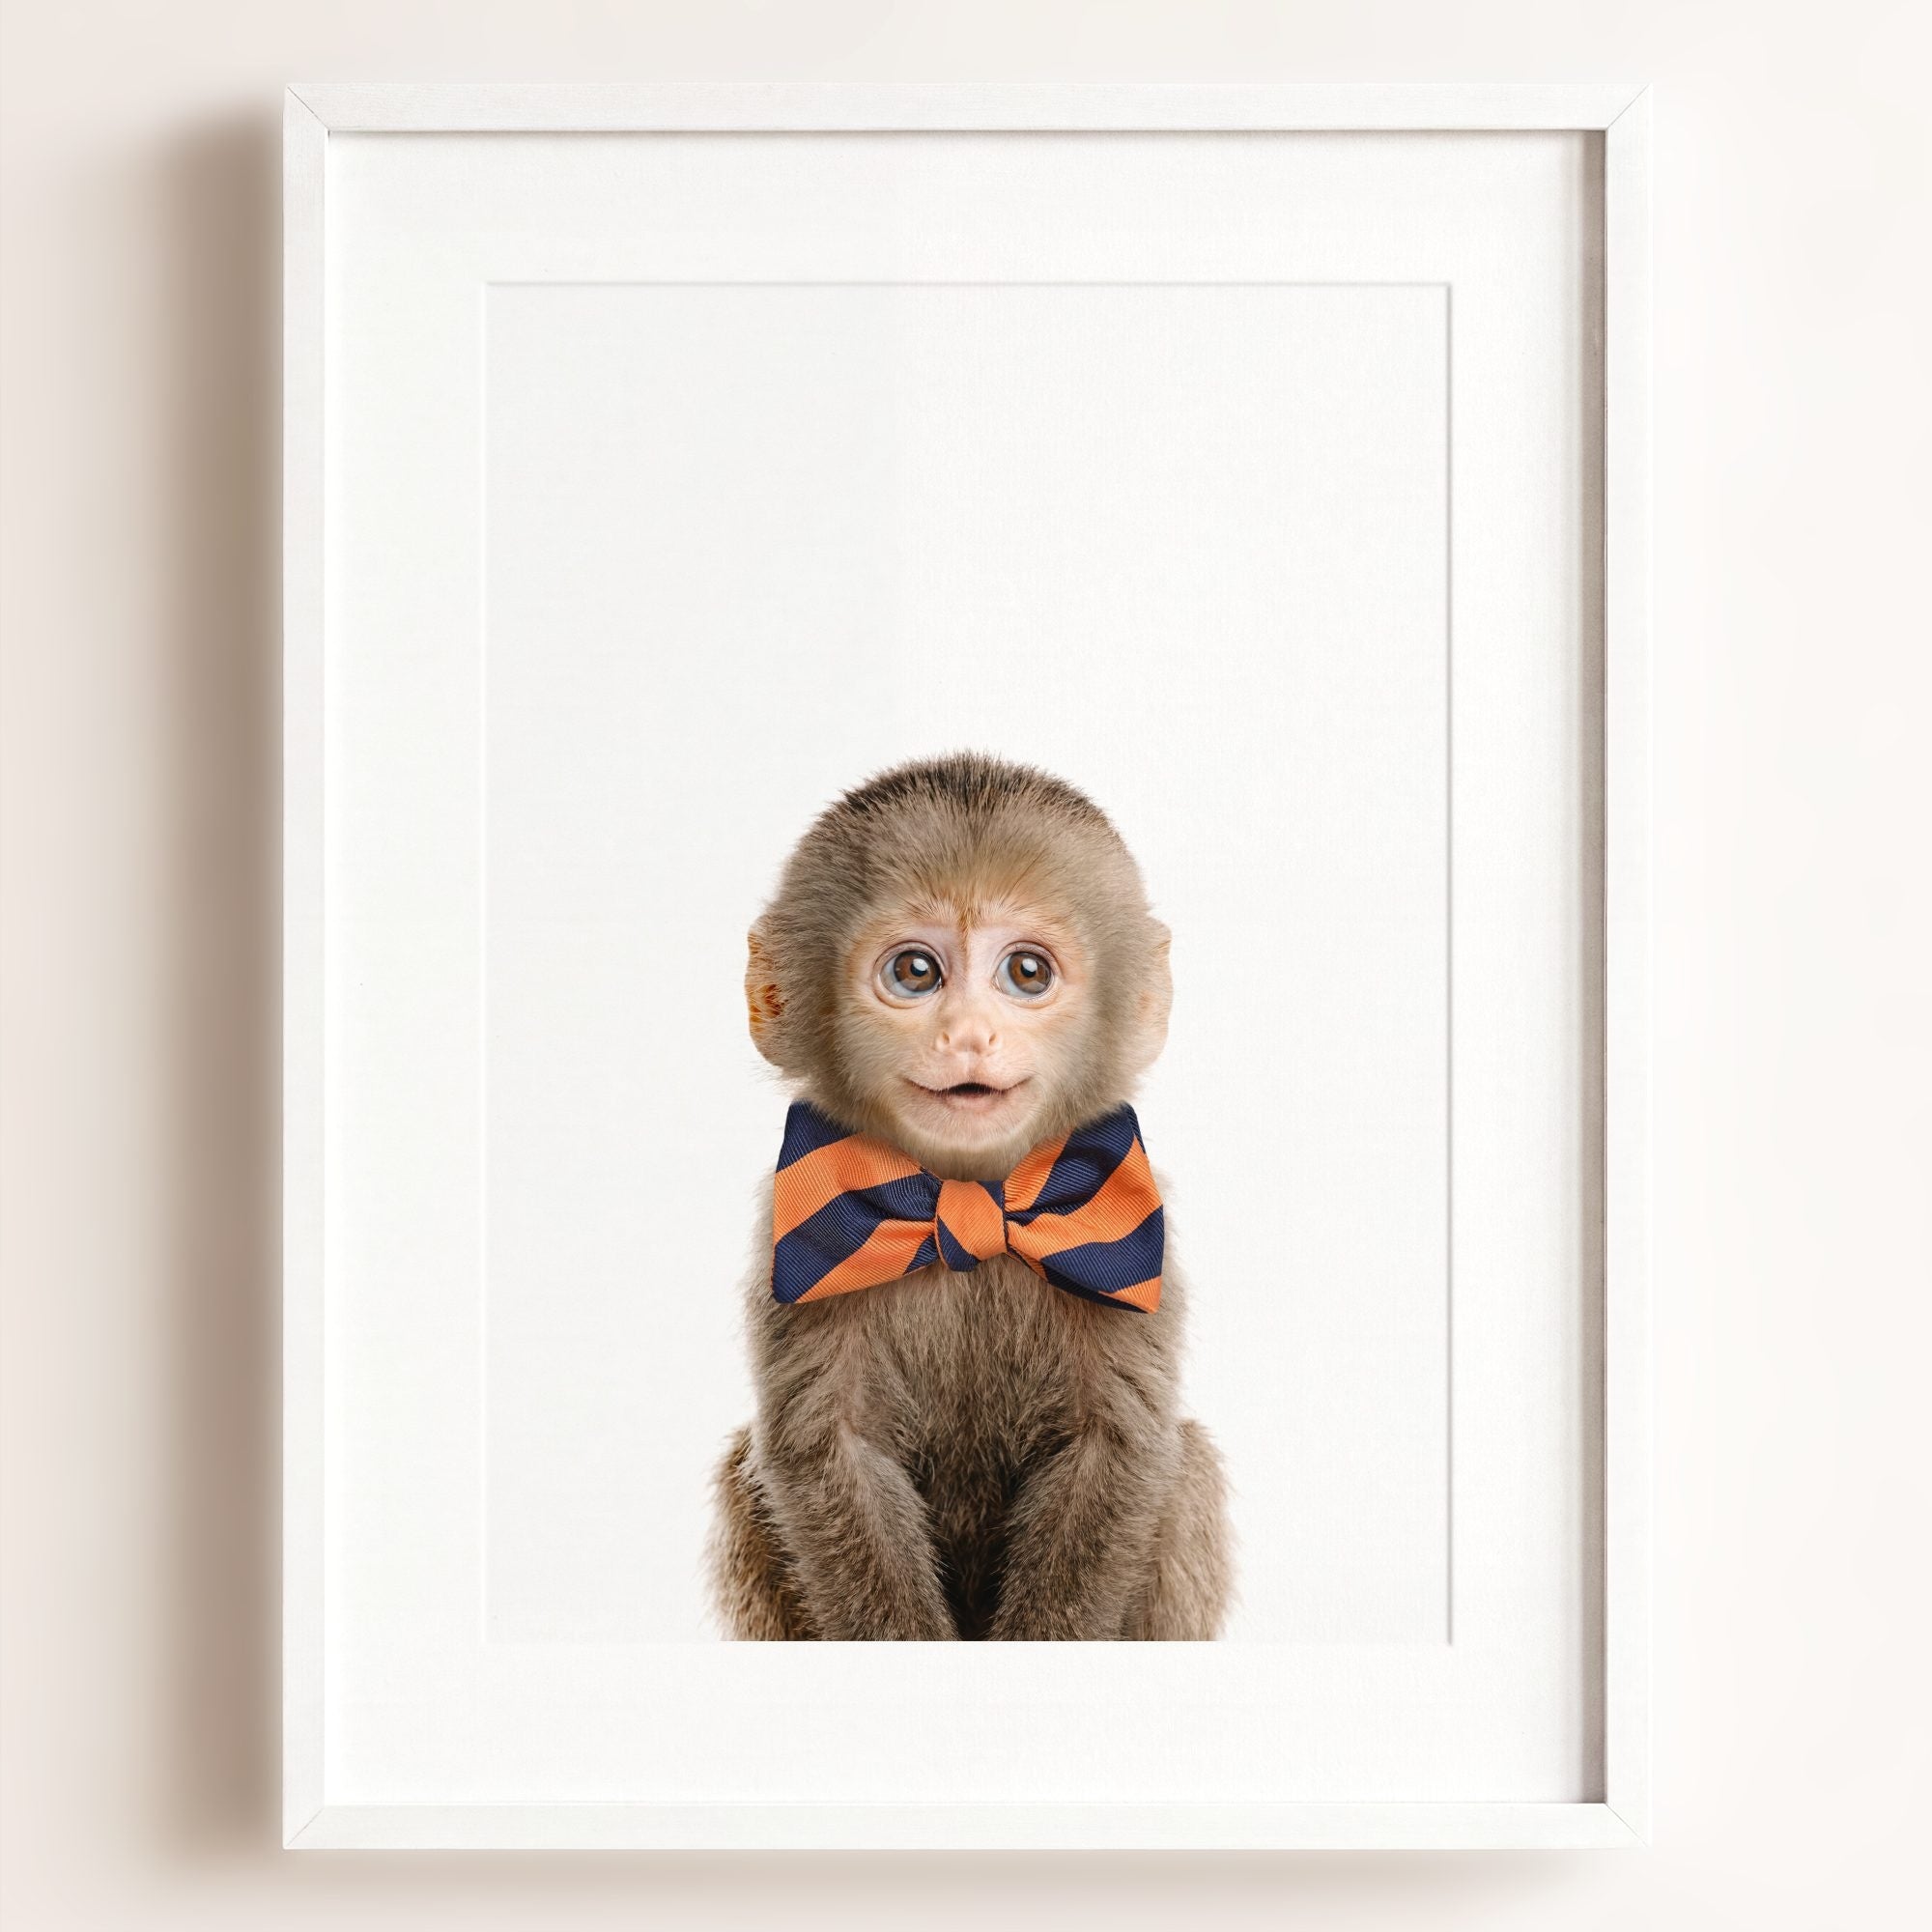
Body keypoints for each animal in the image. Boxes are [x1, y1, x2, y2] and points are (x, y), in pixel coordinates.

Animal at [709, 752, 1231, 1640]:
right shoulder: (795, 1236)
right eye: (915, 972)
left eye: (1027, 972)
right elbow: (829, 1452)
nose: (968, 1037)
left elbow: (1118, 1449)